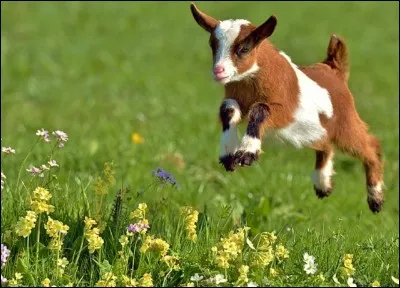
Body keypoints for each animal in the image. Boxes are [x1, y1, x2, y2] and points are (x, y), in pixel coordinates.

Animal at [191, 3, 384, 213]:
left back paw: (375, 198)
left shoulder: (285, 111)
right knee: (326, 145)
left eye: (244, 48)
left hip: (345, 123)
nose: (218, 71)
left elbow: (260, 109)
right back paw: (323, 185)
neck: (251, 80)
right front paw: (228, 154)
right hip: (316, 130)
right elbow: (228, 109)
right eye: (212, 45)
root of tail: (334, 69)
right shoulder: (236, 98)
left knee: (370, 145)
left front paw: (247, 153)